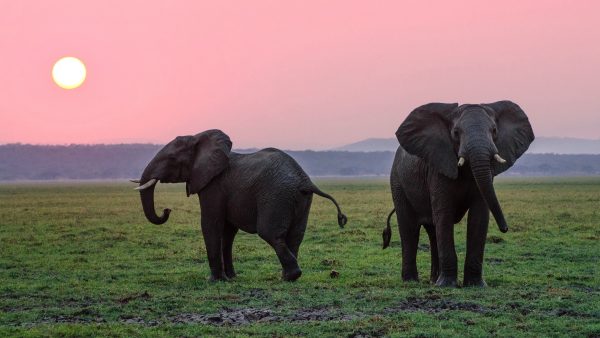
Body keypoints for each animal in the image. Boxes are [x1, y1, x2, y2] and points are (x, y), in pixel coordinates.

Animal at [131, 130, 346, 282]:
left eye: (171, 159)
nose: (167, 210)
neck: (199, 138)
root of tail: (305, 180)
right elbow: (228, 232)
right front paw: (231, 278)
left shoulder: (214, 185)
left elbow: (211, 224)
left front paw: (214, 280)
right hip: (300, 199)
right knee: (295, 236)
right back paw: (287, 277)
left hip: (276, 195)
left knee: (270, 233)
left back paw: (289, 277)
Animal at [382, 101, 532, 288]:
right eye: (455, 133)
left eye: (494, 130)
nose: (505, 228)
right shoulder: (438, 167)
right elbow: (444, 214)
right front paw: (447, 285)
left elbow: (479, 215)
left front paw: (475, 285)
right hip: (397, 182)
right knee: (410, 228)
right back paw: (412, 281)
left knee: (433, 231)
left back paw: (433, 280)